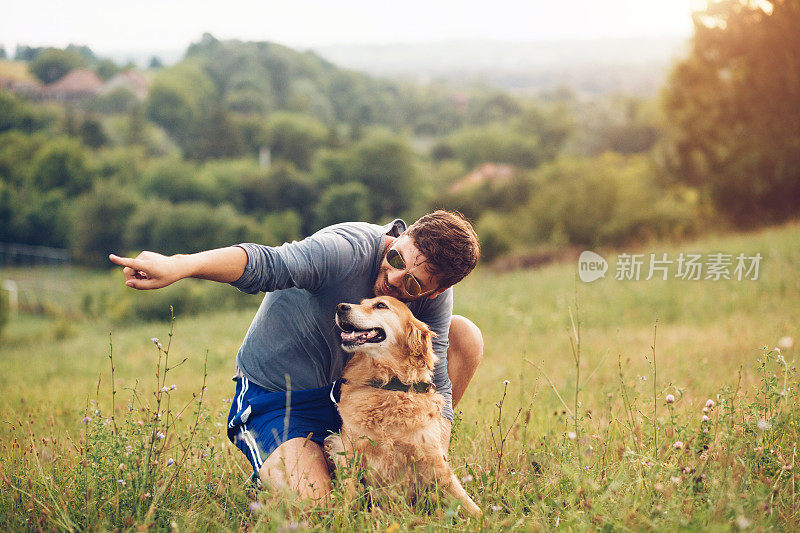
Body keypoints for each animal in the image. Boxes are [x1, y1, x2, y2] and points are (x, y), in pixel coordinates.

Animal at [322, 296, 478, 516]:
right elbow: (349, 494)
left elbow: (463, 498)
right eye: (362, 302)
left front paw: (485, 517)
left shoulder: (431, 456)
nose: (340, 307)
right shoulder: (350, 450)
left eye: (380, 305)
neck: (389, 385)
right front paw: (340, 517)